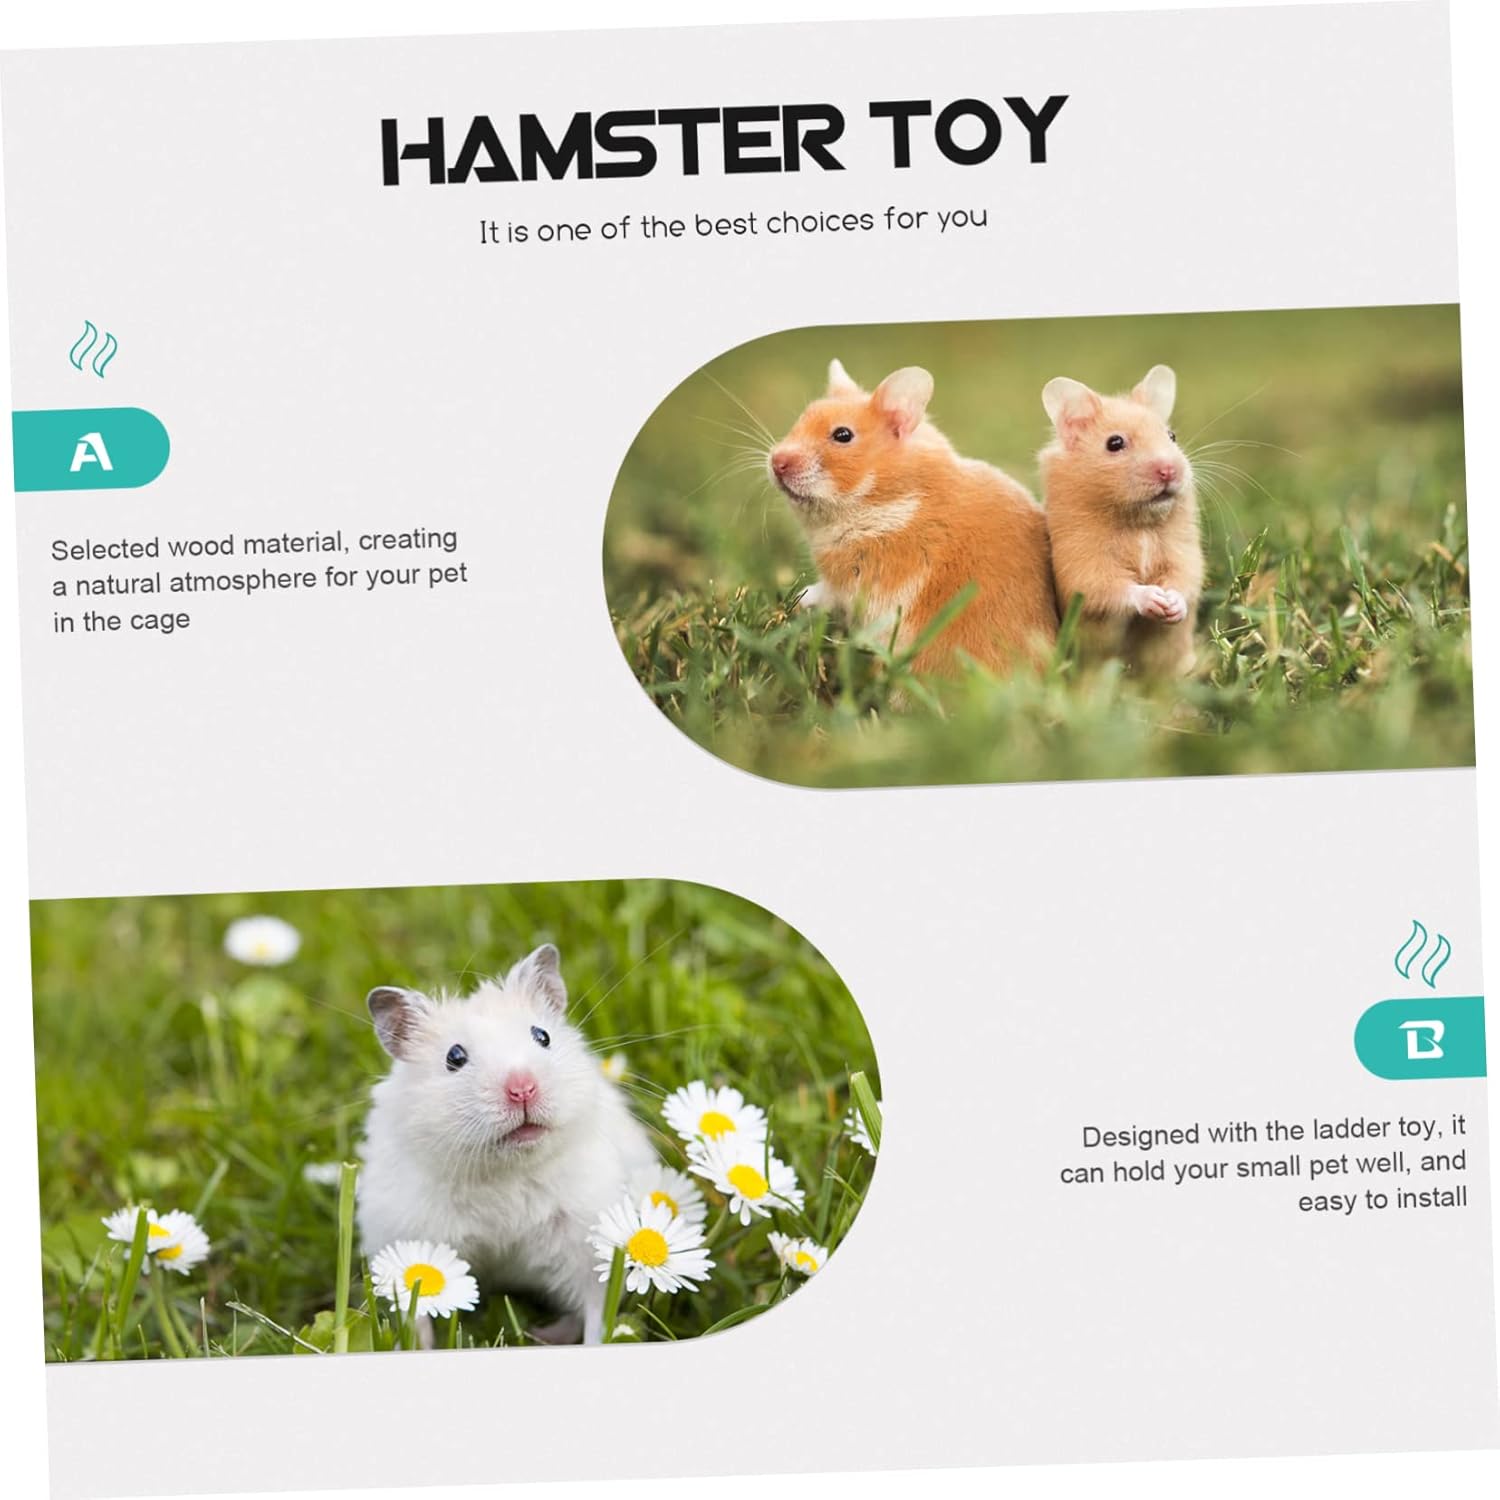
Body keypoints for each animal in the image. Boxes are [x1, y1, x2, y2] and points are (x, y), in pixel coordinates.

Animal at [358, 944, 657, 1345]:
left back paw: (543, 1333)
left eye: (542, 1036)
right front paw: (418, 1349)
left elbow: (597, 1311)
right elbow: (415, 1316)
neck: (504, 1170)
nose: (523, 1089)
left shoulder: (587, 1241)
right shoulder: (407, 1238)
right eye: (454, 1057)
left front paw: (595, 1343)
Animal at [768, 360, 1058, 677]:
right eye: (802, 418)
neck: (889, 499)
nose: (776, 462)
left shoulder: (858, 581)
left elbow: (826, 593)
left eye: (843, 435)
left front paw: (799, 598)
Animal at [1039, 365, 1203, 679]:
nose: (1169, 470)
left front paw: (1172, 605)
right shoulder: (1083, 564)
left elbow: (1185, 578)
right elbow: (1110, 588)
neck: (1138, 523)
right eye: (1114, 443)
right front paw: (1155, 599)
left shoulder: (1182, 551)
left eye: (1172, 436)